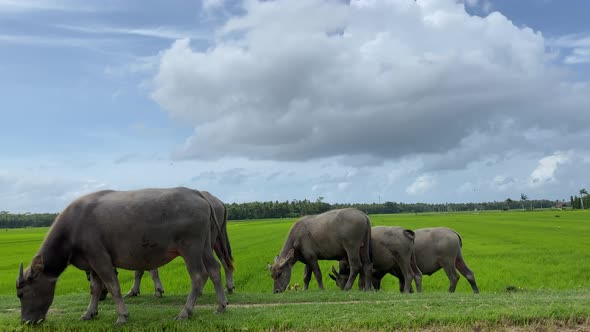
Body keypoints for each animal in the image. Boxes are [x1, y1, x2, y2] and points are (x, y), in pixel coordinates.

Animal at [15, 187, 232, 324]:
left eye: (22, 294)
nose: (26, 321)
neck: (73, 227)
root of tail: (198, 194)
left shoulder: (100, 259)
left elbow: (113, 286)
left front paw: (122, 316)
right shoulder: (92, 263)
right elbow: (95, 288)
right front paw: (89, 312)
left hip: (190, 248)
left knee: (198, 276)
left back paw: (185, 312)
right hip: (205, 246)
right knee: (214, 269)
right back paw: (221, 305)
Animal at [332, 226, 480, 294]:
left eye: (338, 280)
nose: (341, 287)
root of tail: (451, 232)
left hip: (447, 262)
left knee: (454, 277)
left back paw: (450, 292)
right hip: (458, 259)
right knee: (469, 274)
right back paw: (476, 291)